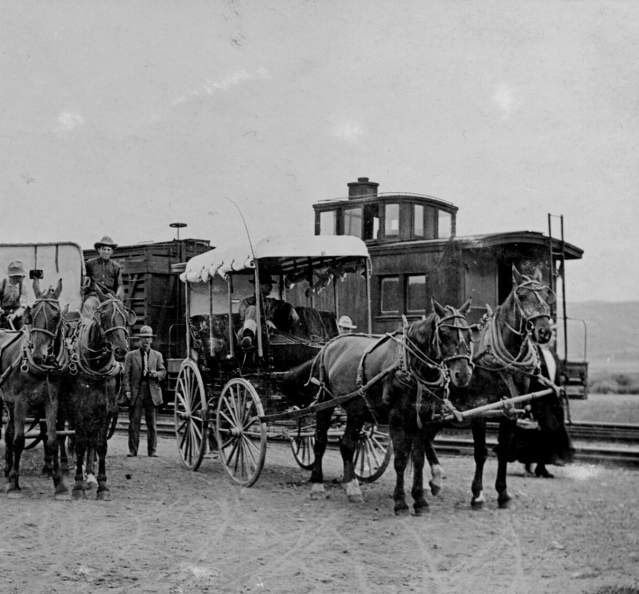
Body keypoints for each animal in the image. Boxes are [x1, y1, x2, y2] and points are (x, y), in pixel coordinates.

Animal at [2, 278, 67, 494]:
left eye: (56, 316)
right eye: (32, 314)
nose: (38, 354)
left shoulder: (52, 401)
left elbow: (53, 440)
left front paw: (59, 483)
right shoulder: (21, 402)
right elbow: (20, 440)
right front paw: (14, 483)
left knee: (8, 433)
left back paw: (6, 468)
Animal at [63, 284, 135, 498]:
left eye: (125, 315)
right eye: (104, 315)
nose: (121, 350)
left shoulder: (104, 410)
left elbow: (100, 445)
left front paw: (101, 484)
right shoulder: (78, 410)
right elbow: (79, 443)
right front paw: (78, 485)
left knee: (90, 443)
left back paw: (90, 474)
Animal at [282, 298, 472, 512]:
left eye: (469, 334)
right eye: (444, 333)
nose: (463, 374)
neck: (409, 365)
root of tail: (328, 346)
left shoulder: (422, 418)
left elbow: (418, 458)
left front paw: (420, 500)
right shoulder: (397, 418)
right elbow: (400, 460)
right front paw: (400, 502)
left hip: (356, 409)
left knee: (347, 444)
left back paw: (352, 488)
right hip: (325, 402)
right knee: (320, 441)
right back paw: (317, 484)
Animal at [458, 266, 556, 506]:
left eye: (547, 294)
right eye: (522, 295)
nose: (544, 332)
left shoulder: (511, 410)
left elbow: (503, 450)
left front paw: (502, 493)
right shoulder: (478, 410)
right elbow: (481, 452)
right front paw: (477, 493)